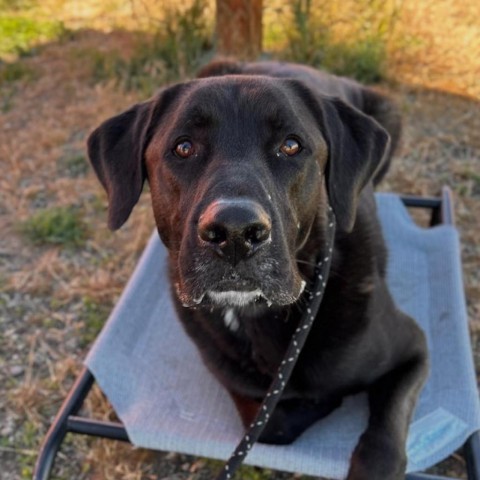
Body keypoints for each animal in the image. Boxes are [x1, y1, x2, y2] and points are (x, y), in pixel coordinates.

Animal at [88, 61, 430, 480]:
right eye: (183, 147)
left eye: (291, 145)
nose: (235, 233)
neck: (257, 314)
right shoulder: (245, 393)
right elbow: (274, 422)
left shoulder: (413, 349)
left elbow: (383, 436)